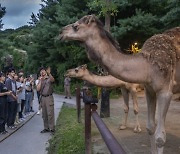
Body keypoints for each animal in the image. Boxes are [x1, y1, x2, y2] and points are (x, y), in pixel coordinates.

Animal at [59, 14, 179, 154]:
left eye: (76, 26)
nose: (61, 32)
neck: (146, 66)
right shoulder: (143, 90)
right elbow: (145, 124)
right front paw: (123, 126)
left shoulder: (160, 91)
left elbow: (155, 132)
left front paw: (137, 128)